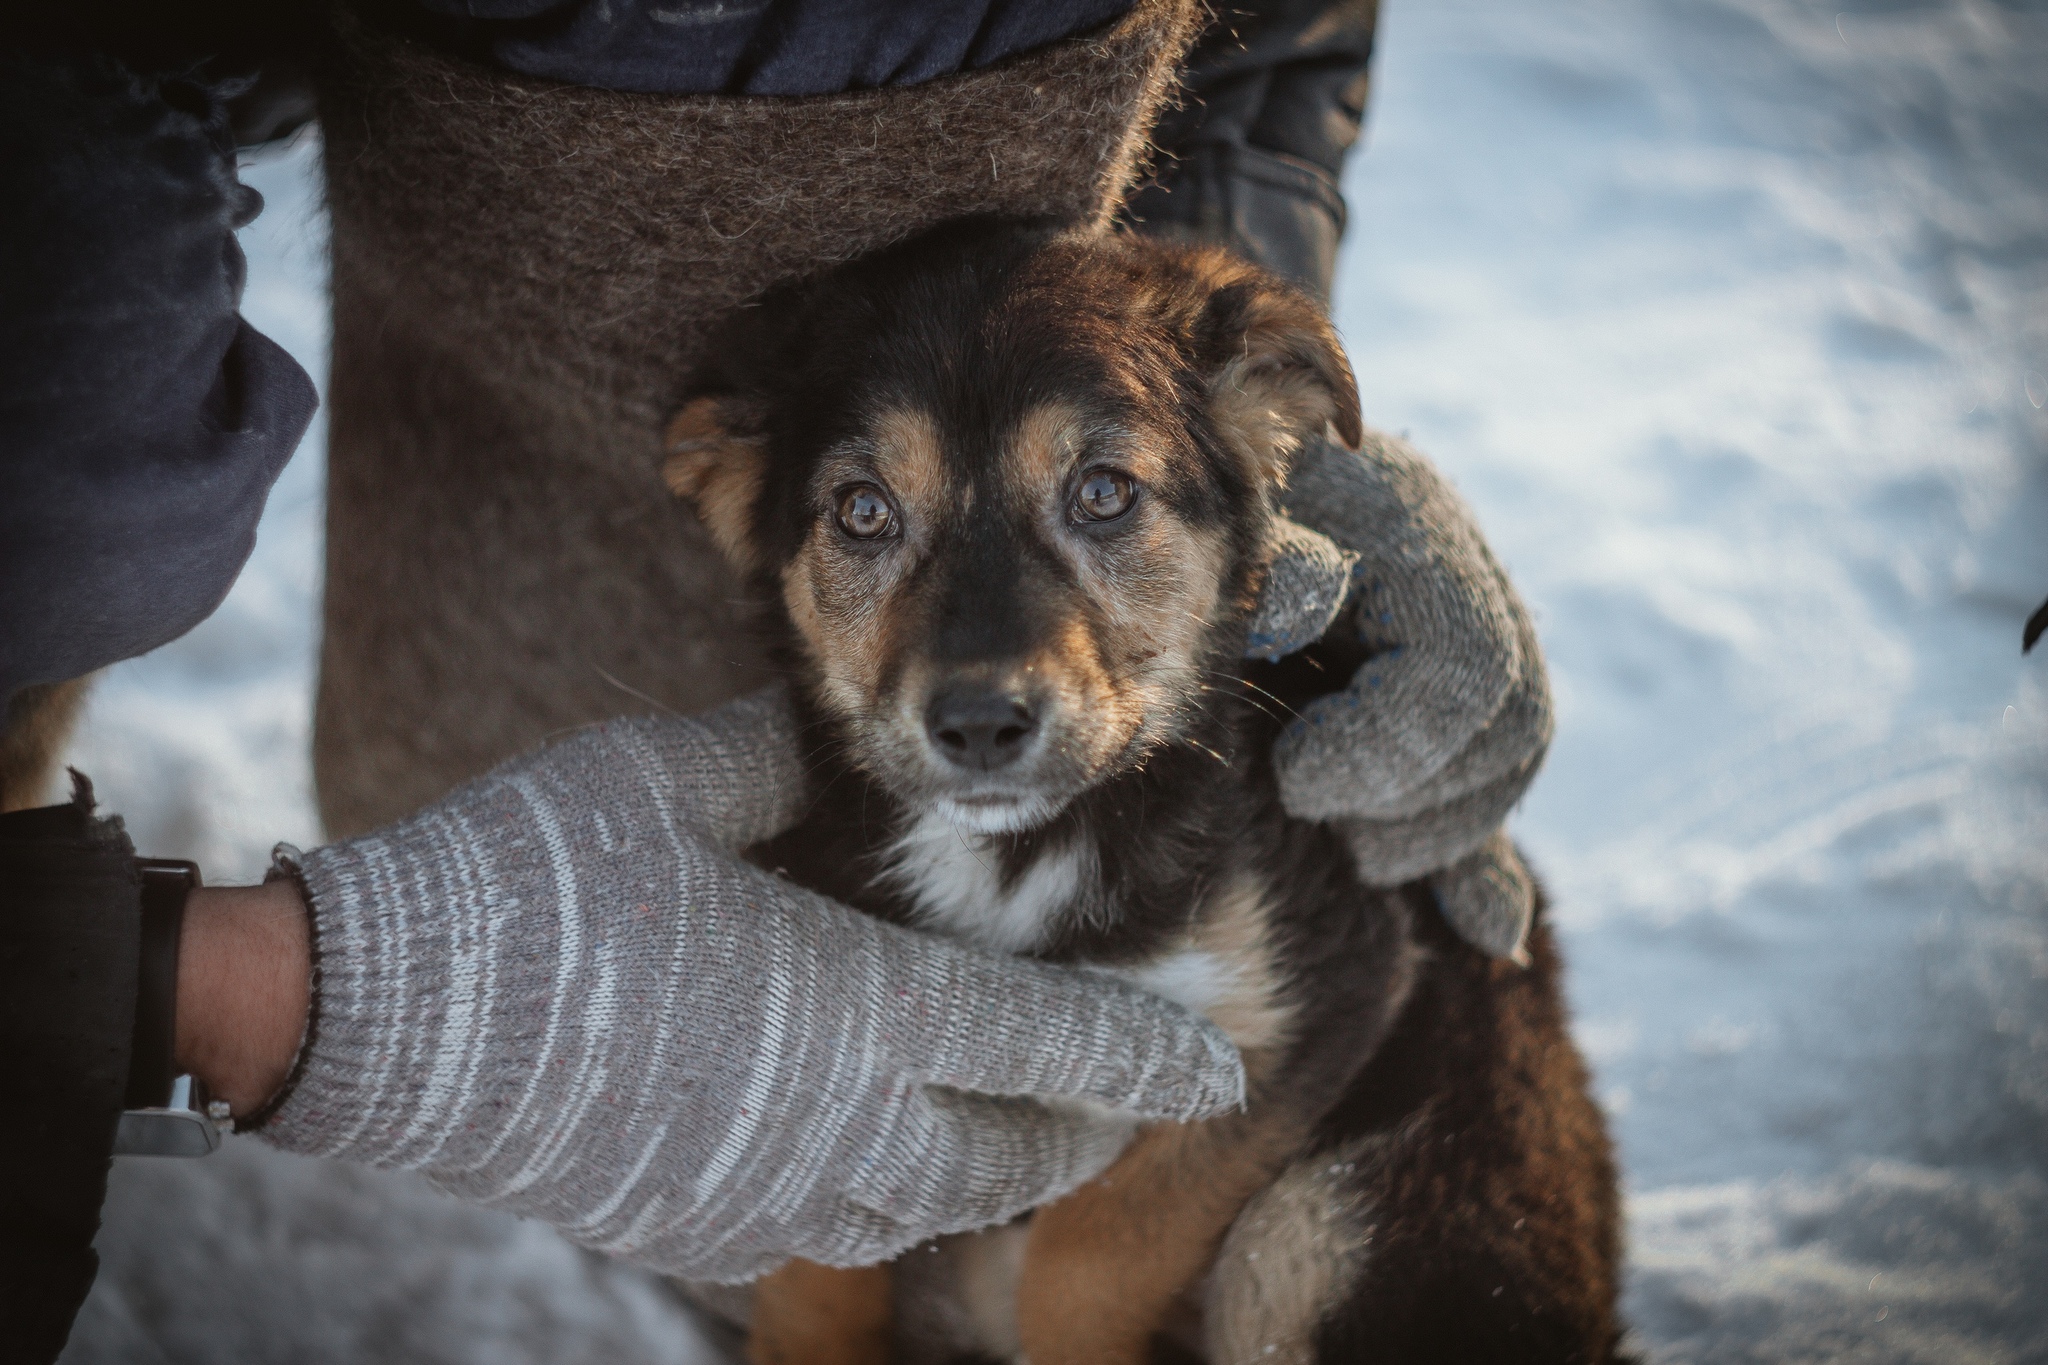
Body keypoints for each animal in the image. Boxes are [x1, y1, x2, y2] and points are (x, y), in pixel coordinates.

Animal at [663, 218, 1622, 1365]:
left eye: (1104, 492)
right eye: (861, 511)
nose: (978, 723)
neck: (1019, 858)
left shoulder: (1316, 1002)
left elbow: (1089, 1259)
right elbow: (816, 1252)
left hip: (1329, 1225)